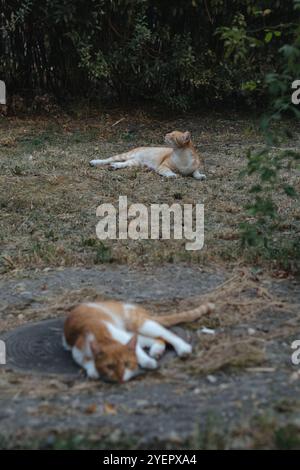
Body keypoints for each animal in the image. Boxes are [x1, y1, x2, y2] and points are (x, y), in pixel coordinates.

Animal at [63, 302, 214, 382]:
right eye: (110, 366)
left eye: (126, 363)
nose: (121, 378)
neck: (102, 337)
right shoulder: (77, 349)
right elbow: (85, 361)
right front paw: (93, 371)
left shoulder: (123, 337)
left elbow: (138, 352)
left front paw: (147, 362)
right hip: (135, 333)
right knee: (158, 339)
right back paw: (157, 351)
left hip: (141, 324)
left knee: (167, 334)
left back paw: (182, 348)